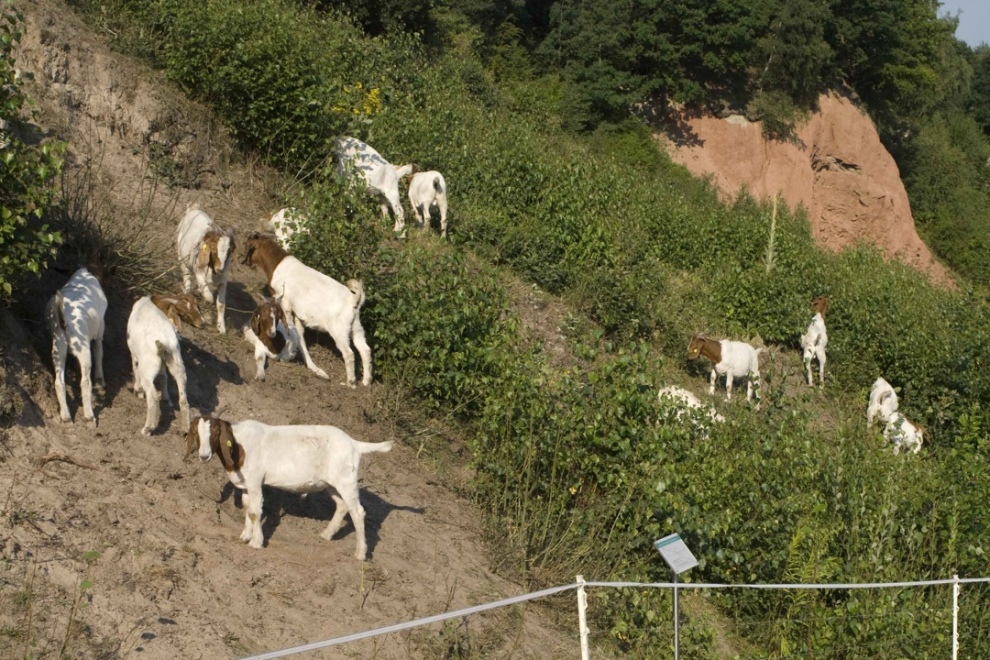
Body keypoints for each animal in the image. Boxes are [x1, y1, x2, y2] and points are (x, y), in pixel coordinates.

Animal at [46, 266, 108, 426]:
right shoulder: (100, 328)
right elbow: (99, 351)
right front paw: (100, 379)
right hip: (82, 346)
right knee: (85, 381)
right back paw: (89, 416)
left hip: (58, 346)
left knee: (59, 382)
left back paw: (66, 416)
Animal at [129, 296, 201, 436]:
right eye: (184, 313)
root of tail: (163, 342)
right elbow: (163, 376)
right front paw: (166, 398)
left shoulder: (134, 354)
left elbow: (135, 368)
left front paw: (138, 391)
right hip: (177, 363)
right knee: (183, 398)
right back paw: (185, 428)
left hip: (148, 368)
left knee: (152, 396)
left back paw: (148, 428)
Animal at [176, 204, 234, 332]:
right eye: (213, 249)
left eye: (229, 251)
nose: (219, 269)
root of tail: (193, 209)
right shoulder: (199, 273)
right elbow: (209, 297)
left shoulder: (223, 281)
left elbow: (221, 304)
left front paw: (221, 328)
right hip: (181, 256)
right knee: (186, 275)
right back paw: (189, 294)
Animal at [184, 416, 394, 560]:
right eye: (197, 434)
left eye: (215, 433)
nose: (203, 456)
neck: (238, 445)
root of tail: (355, 444)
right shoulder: (246, 486)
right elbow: (248, 510)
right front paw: (245, 536)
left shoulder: (255, 481)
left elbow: (256, 512)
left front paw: (256, 542)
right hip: (332, 484)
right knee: (342, 506)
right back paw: (326, 535)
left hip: (347, 481)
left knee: (358, 512)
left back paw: (360, 553)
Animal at [242, 232, 374, 386]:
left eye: (247, 245)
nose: (245, 262)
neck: (278, 265)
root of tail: (354, 300)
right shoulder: (298, 314)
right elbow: (299, 333)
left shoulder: (286, 304)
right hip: (356, 327)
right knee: (365, 350)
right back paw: (366, 382)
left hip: (339, 330)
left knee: (349, 353)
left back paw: (350, 383)